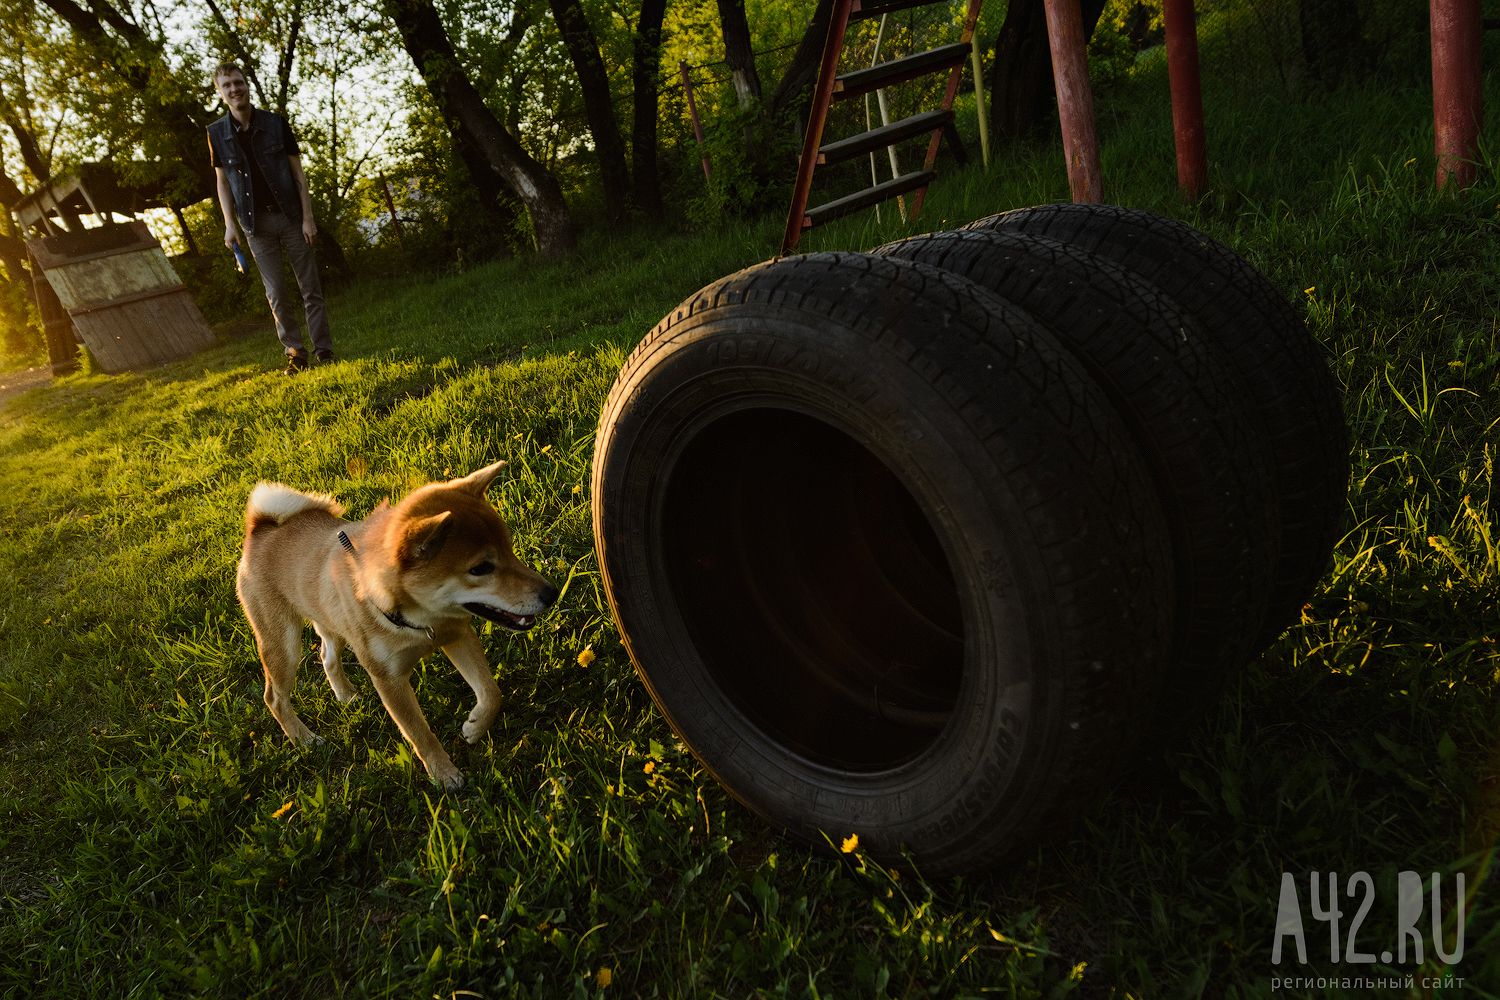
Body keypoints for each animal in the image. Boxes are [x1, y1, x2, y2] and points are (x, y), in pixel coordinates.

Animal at [237, 461, 561, 791]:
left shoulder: (457, 635)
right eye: (481, 568)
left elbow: (492, 692)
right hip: (284, 645)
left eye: (510, 549)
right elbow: (420, 734)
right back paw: (304, 739)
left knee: (326, 656)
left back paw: (345, 695)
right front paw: (443, 774)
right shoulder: (389, 680)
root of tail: (260, 529)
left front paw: (475, 726)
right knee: (275, 698)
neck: (418, 620)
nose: (551, 593)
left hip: (332, 622)